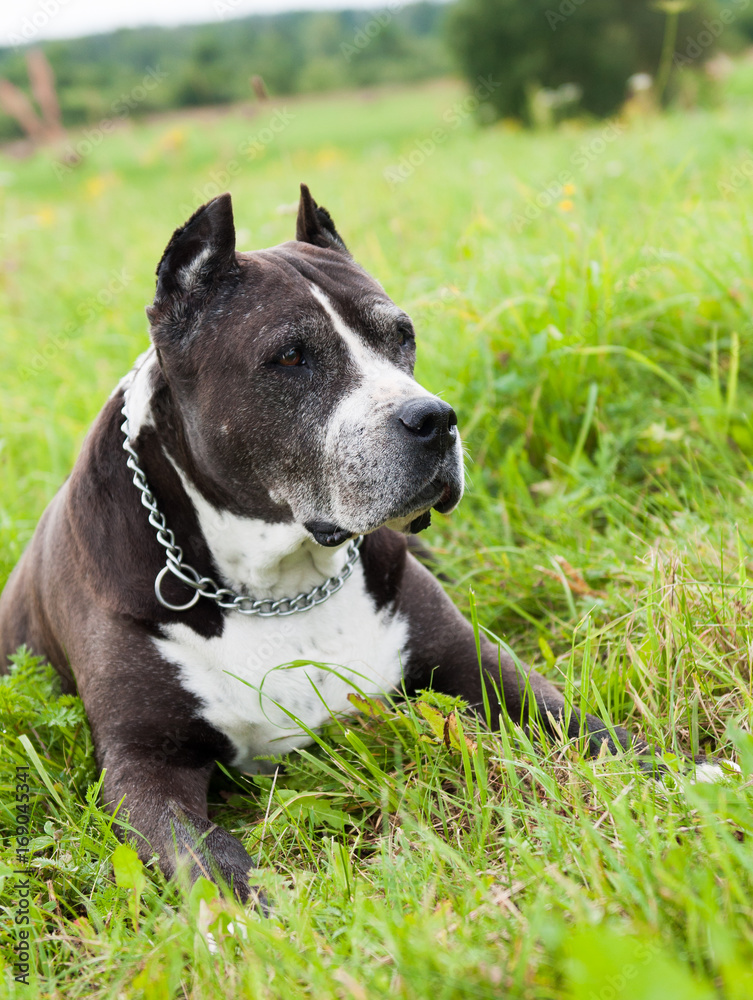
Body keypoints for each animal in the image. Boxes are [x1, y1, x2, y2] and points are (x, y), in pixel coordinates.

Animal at [0, 186, 720, 900]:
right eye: (291, 357)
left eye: (401, 335)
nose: (434, 418)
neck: (277, 582)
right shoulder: (145, 763)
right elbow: (200, 858)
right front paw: (251, 915)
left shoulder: (472, 662)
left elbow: (578, 723)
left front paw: (688, 773)